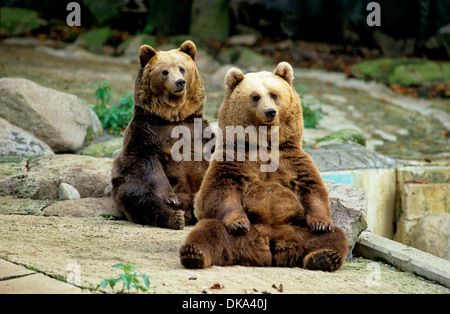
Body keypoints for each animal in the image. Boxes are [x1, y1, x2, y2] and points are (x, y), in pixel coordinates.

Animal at [111, 40, 212, 229]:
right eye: (164, 71)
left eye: (182, 68)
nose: (179, 82)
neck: (173, 117)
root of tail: (190, 209)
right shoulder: (145, 133)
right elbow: (147, 163)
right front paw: (170, 198)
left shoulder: (201, 133)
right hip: (124, 185)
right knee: (135, 192)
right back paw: (176, 218)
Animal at [179, 61, 348, 270]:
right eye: (255, 96)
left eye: (274, 94)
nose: (270, 111)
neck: (264, 144)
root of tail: (270, 245)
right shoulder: (233, 159)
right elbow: (220, 191)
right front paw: (238, 222)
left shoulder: (292, 161)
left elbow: (311, 189)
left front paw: (320, 223)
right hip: (243, 234)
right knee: (209, 231)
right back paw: (193, 253)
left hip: (297, 229)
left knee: (334, 236)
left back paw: (324, 257)